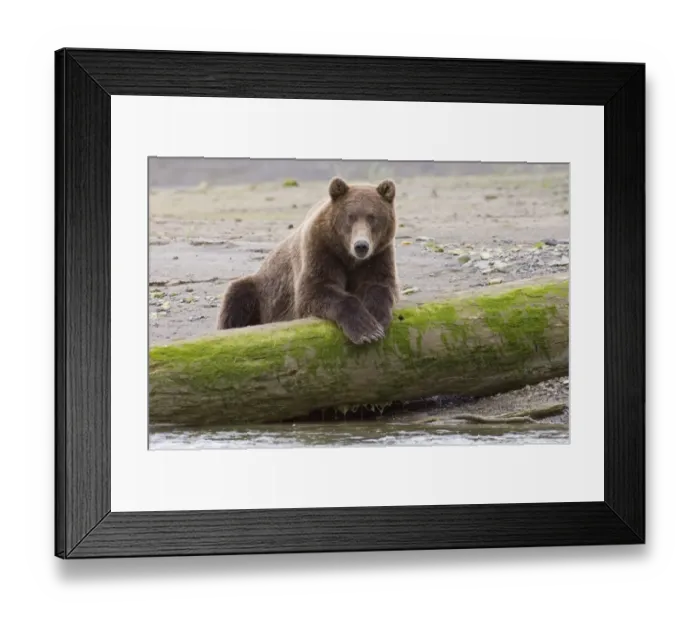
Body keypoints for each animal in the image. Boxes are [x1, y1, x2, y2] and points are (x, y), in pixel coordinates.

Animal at [217, 176, 400, 345]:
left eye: (372, 217)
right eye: (350, 217)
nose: (361, 245)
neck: (348, 256)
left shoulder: (378, 255)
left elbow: (379, 284)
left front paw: (376, 317)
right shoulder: (321, 250)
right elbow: (315, 290)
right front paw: (366, 330)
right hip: (262, 293)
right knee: (237, 296)